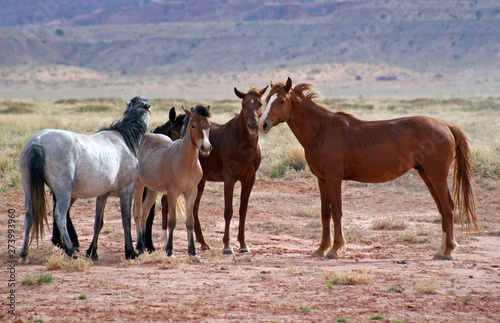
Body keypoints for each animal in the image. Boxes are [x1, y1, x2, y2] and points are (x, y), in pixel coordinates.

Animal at [19, 97, 150, 264]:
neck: (124, 139)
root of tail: (37, 141)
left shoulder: (103, 194)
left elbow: (98, 223)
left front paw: (92, 252)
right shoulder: (126, 189)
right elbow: (126, 220)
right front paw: (131, 252)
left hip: (28, 187)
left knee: (29, 216)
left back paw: (24, 254)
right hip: (63, 192)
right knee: (60, 217)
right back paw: (70, 251)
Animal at [260, 78, 478, 260]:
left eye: (281, 101)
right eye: (266, 100)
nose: (262, 124)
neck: (322, 131)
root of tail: (445, 126)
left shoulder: (333, 178)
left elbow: (337, 211)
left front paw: (335, 249)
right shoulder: (321, 179)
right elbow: (325, 213)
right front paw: (321, 249)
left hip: (436, 175)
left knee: (448, 207)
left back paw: (447, 251)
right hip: (426, 173)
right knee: (442, 208)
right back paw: (440, 250)